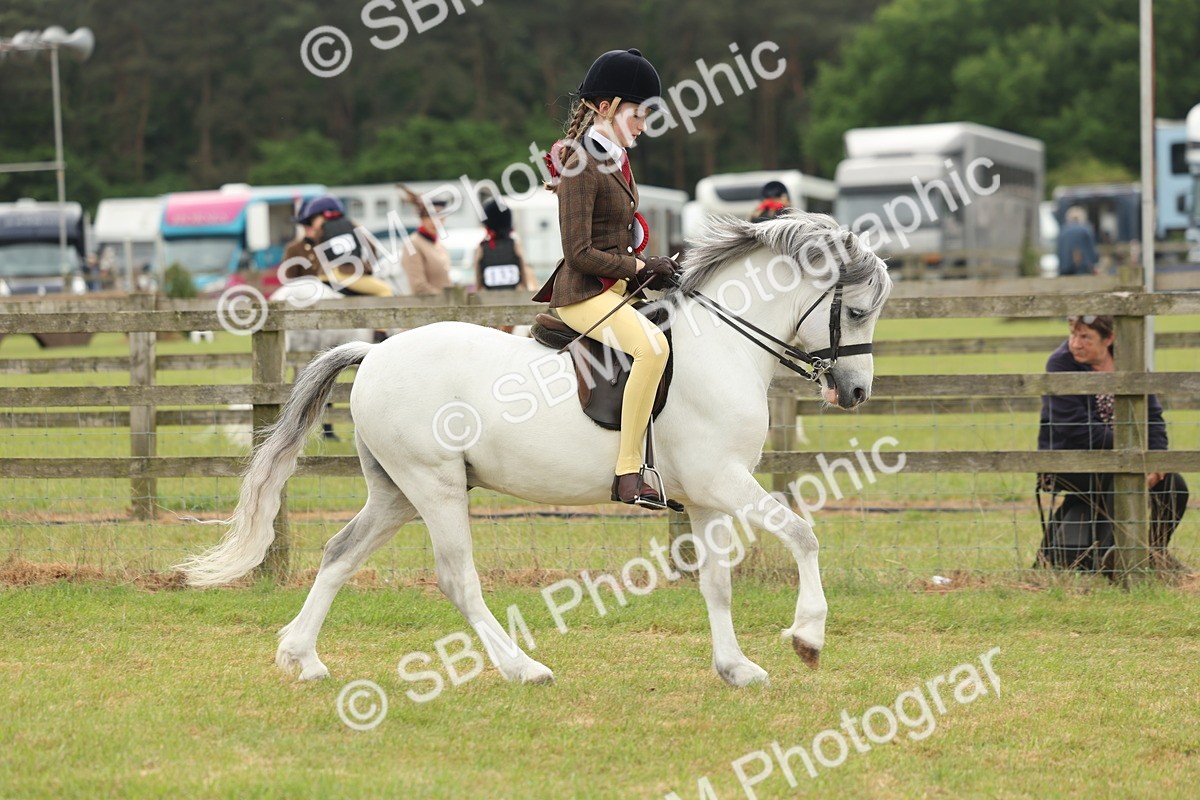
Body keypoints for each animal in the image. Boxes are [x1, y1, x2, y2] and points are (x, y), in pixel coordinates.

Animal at [178, 212, 892, 688]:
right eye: (858, 312)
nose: (854, 392)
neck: (723, 347)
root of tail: (374, 351)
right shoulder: (723, 480)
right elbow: (802, 535)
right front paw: (807, 637)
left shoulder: (707, 496)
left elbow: (716, 582)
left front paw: (736, 668)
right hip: (434, 487)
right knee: (457, 579)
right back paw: (522, 667)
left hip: (397, 493)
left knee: (339, 554)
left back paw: (302, 657)